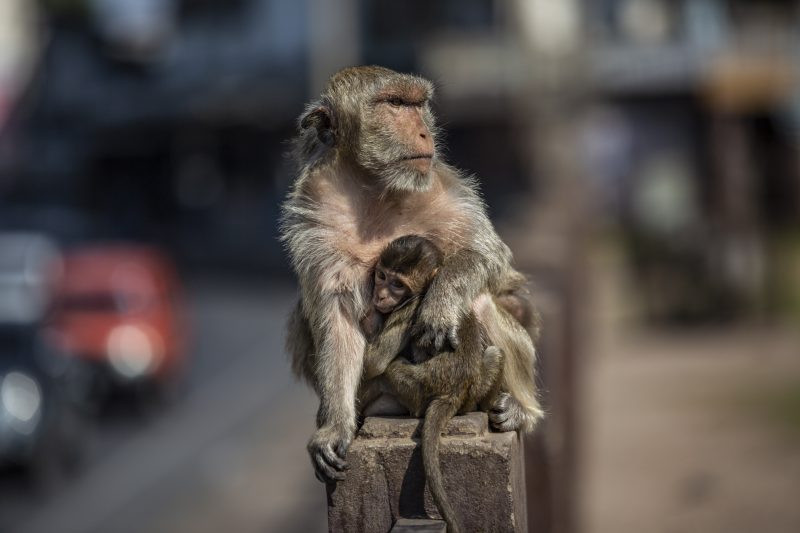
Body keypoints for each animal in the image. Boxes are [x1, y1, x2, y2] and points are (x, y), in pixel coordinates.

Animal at [282, 65, 544, 482]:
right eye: (394, 103)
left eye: (417, 104)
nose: (424, 133)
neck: (374, 189)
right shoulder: (314, 210)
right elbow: (334, 314)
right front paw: (334, 427)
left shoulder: (441, 185)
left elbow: (488, 254)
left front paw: (437, 306)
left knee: (482, 302)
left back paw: (521, 409)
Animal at [360, 234, 504, 532]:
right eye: (382, 276)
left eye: (398, 285)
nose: (380, 295)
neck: (425, 291)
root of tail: (452, 394)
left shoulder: (406, 309)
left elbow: (375, 363)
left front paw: (369, 318)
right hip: (472, 390)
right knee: (495, 354)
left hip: (416, 389)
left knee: (391, 369)